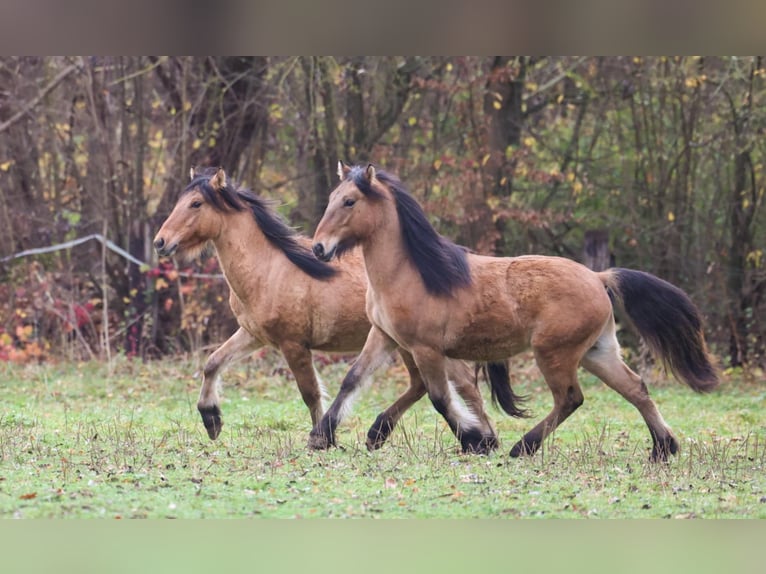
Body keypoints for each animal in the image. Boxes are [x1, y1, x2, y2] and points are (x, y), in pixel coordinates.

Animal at [153, 167, 507, 452]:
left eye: (196, 204)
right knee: (427, 385)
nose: (160, 242)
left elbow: (310, 393)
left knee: (460, 384)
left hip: (418, 344)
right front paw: (212, 420)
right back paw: (387, 435)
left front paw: (322, 438)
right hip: (404, 343)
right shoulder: (253, 335)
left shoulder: (293, 344)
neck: (270, 269)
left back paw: (482, 438)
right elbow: (213, 363)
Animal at [310, 162, 720, 461]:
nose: (318, 248)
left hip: (555, 354)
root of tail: (598, 277)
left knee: (570, 399)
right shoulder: (385, 337)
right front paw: (325, 436)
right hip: (597, 352)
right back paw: (662, 449)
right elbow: (353, 380)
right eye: (332, 198)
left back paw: (523, 446)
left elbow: (440, 398)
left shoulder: (426, 349)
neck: (412, 273)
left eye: (349, 202)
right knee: (635, 389)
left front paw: (476, 440)